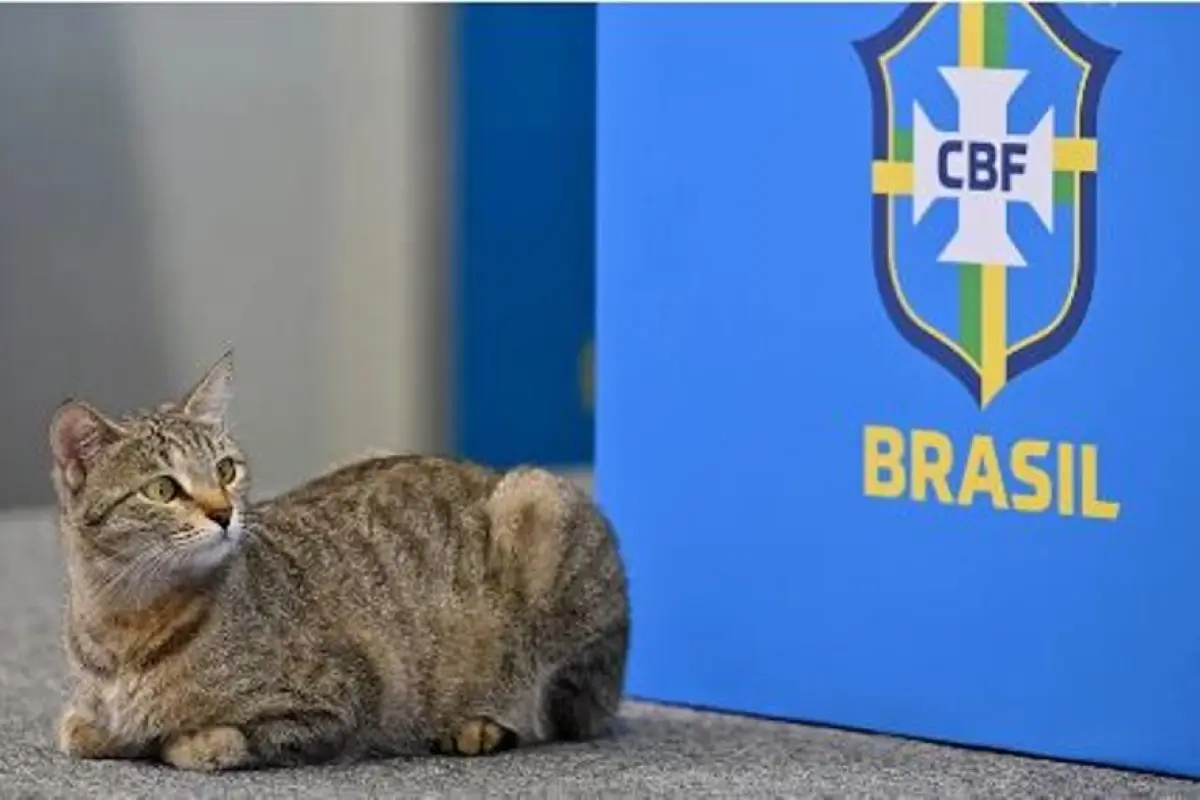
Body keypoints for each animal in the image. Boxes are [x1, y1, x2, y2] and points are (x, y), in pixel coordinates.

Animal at [49, 352, 628, 772]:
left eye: (226, 470)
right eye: (163, 489)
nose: (224, 512)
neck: (124, 624)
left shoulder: (341, 699)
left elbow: (213, 740)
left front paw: (184, 739)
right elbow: (80, 730)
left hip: (541, 503)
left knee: (560, 715)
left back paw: (479, 726)